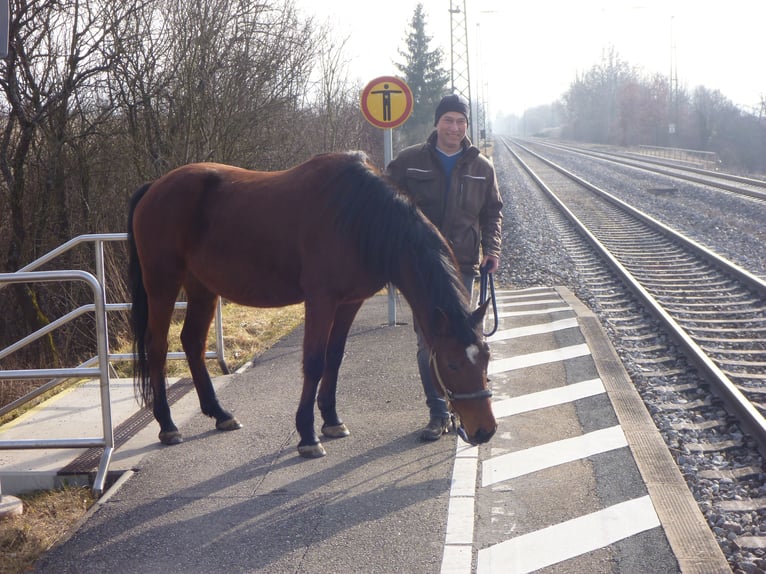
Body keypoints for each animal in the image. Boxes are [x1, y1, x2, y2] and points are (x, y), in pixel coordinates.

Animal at [127, 151, 498, 456]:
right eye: (451, 364)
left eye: (486, 358)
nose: (484, 431)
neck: (359, 215)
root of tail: (154, 187)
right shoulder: (321, 300)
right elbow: (315, 362)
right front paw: (307, 435)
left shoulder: (350, 302)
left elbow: (334, 358)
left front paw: (332, 421)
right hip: (162, 284)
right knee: (158, 347)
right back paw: (168, 426)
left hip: (202, 287)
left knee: (191, 341)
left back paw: (220, 414)